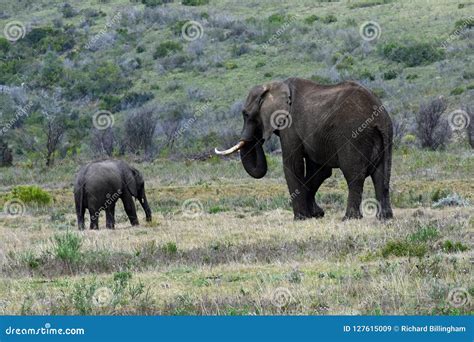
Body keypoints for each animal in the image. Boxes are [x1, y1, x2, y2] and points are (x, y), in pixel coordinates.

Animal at [215, 78, 392, 220]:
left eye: (245, 114)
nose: (259, 137)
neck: (275, 85)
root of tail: (377, 115)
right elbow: (319, 171)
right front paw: (316, 214)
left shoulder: (290, 127)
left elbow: (293, 166)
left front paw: (300, 218)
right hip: (387, 135)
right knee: (382, 175)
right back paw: (384, 217)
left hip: (353, 135)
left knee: (354, 174)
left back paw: (349, 218)